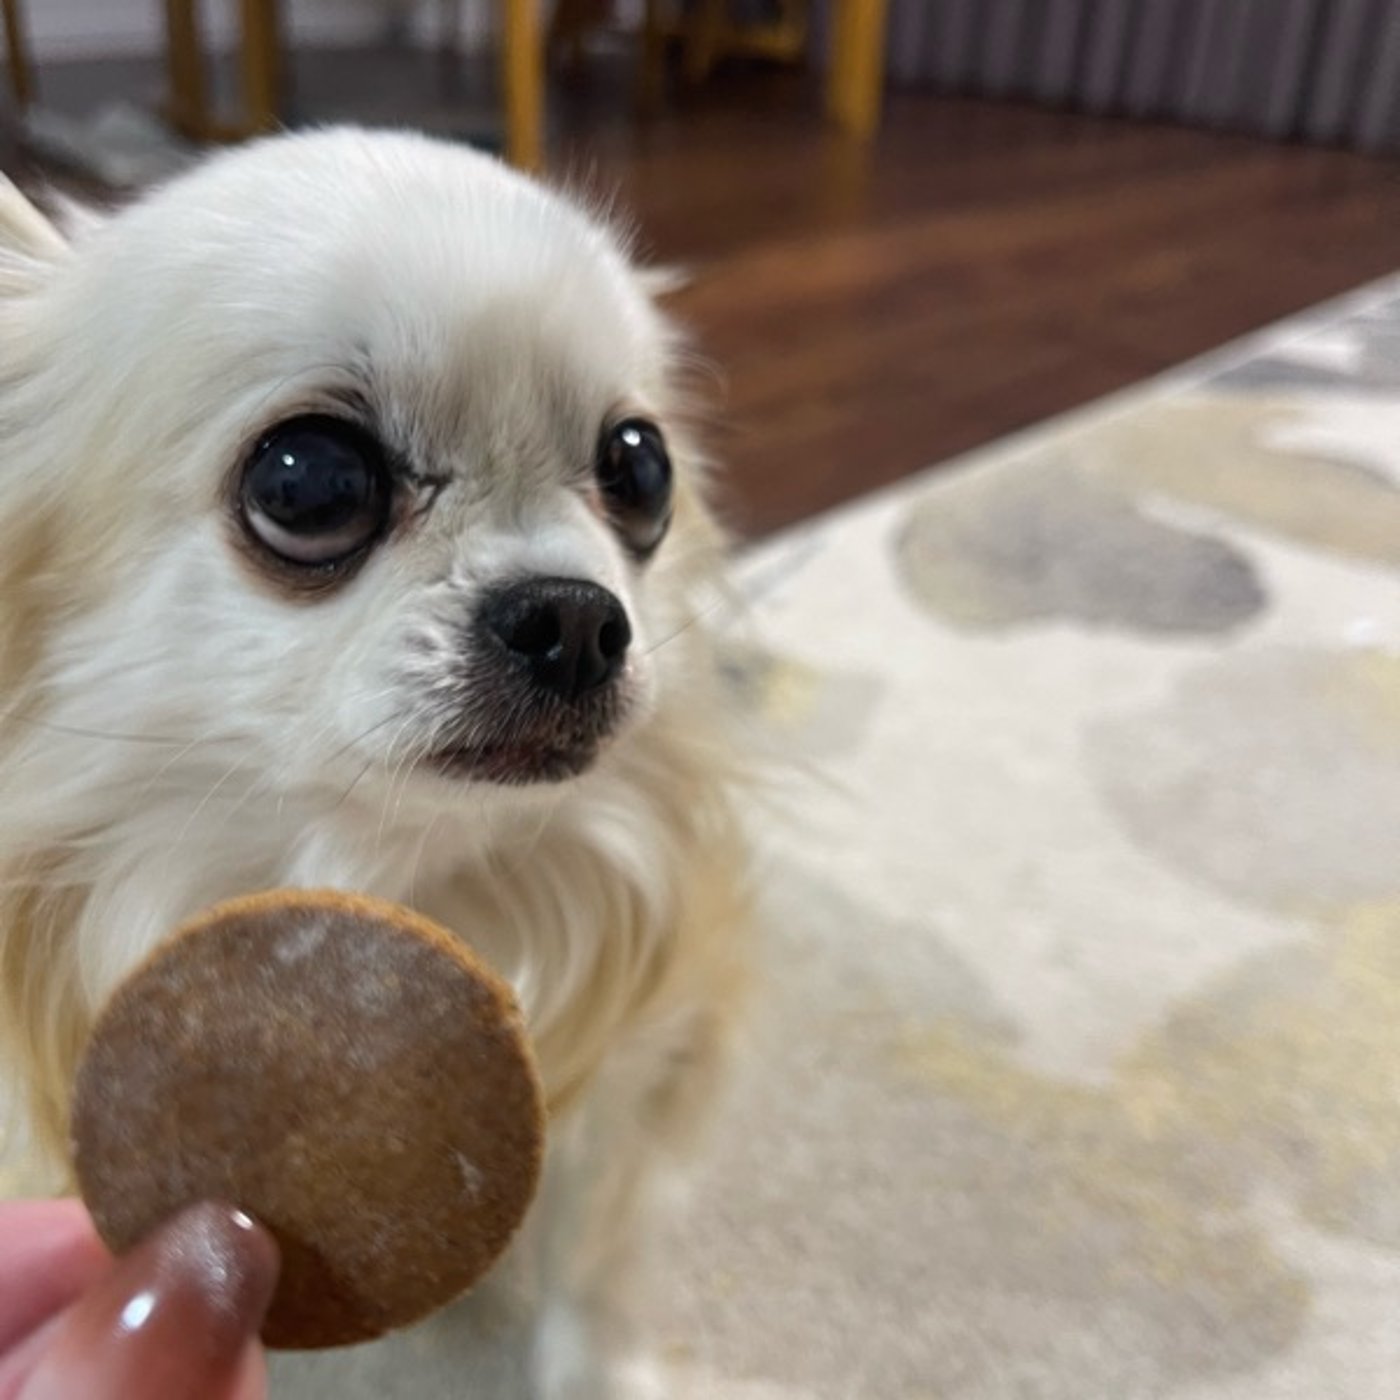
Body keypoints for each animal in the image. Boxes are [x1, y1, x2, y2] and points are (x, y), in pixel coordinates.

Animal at [0, 128, 748, 1396]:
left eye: (640, 469)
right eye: (308, 480)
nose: (576, 619)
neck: (388, 875)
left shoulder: (630, 1083)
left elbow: (592, 1262)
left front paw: (597, 1369)